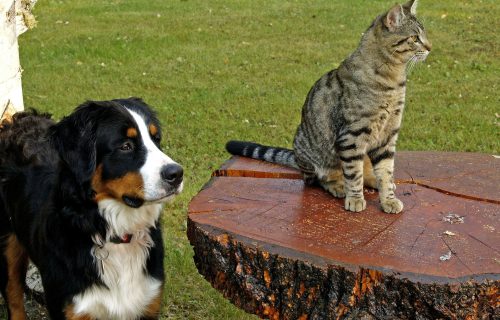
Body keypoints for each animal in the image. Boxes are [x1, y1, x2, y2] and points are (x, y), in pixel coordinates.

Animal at [0, 98, 184, 320]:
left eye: (156, 139)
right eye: (125, 146)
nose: (177, 174)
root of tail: (16, 119)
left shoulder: (149, 302)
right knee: (13, 295)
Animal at [226, 0, 430, 215]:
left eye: (423, 36)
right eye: (415, 38)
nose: (430, 47)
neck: (393, 80)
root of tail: (297, 157)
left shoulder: (387, 136)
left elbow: (385, 172)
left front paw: (388, 199)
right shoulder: (351, 137)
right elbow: (354, 174)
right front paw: (355, 198)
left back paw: (373, 180)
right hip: (311, 152)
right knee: (317, 180)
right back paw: (338, 186)